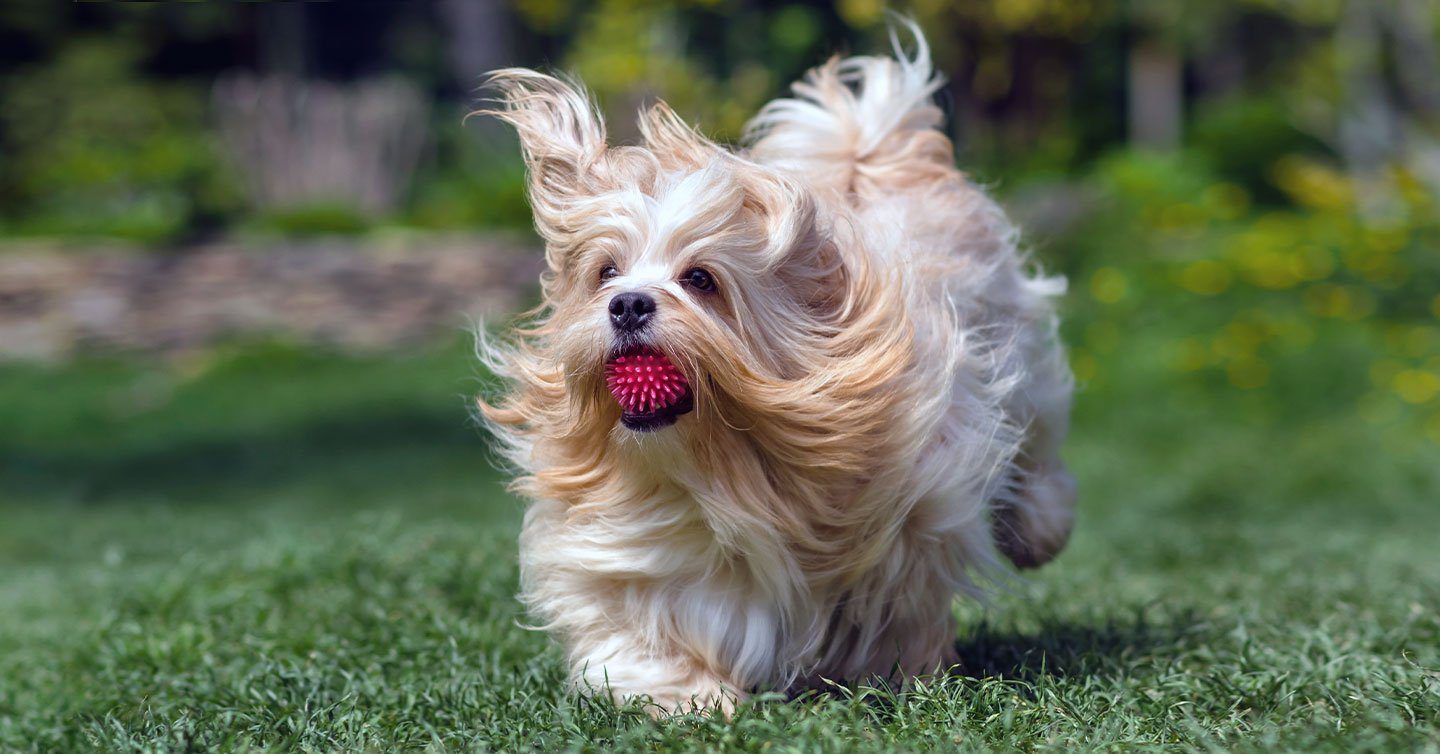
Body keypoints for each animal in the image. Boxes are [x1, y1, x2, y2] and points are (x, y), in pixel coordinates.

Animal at [478, 23, 1077, 713]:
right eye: (606, 272)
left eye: (701, 279)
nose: (627, 304)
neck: (728, 469)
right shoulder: (626, 551)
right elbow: (636, 630)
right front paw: (689, 695)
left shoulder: (922, 504)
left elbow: (900, 604)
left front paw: (898, 672)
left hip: (1023, 351)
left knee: (1039, 448)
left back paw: (1040, 531)